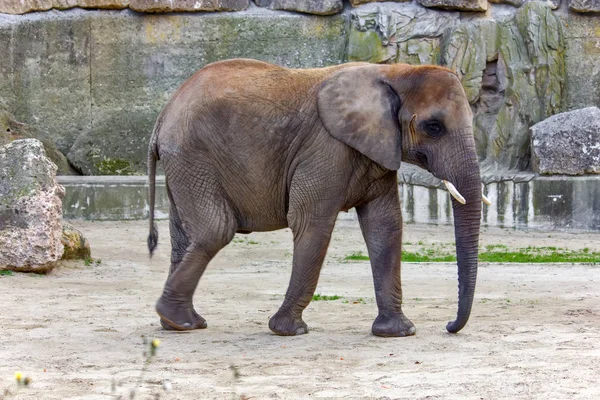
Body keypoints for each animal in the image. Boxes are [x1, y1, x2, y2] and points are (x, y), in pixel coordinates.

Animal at [146, 57, 488, 336]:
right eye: (434, 126)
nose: (449, 325)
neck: (395, 71)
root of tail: (161, 118)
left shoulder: (377, 150)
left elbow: (385, 225)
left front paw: (399, 332)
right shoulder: (325, 148)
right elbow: (313, 222)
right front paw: (289, 330)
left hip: (185, 166)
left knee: (185, 237)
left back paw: (181, 323)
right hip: (193, 156)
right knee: (215, 230)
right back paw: (177, 319)